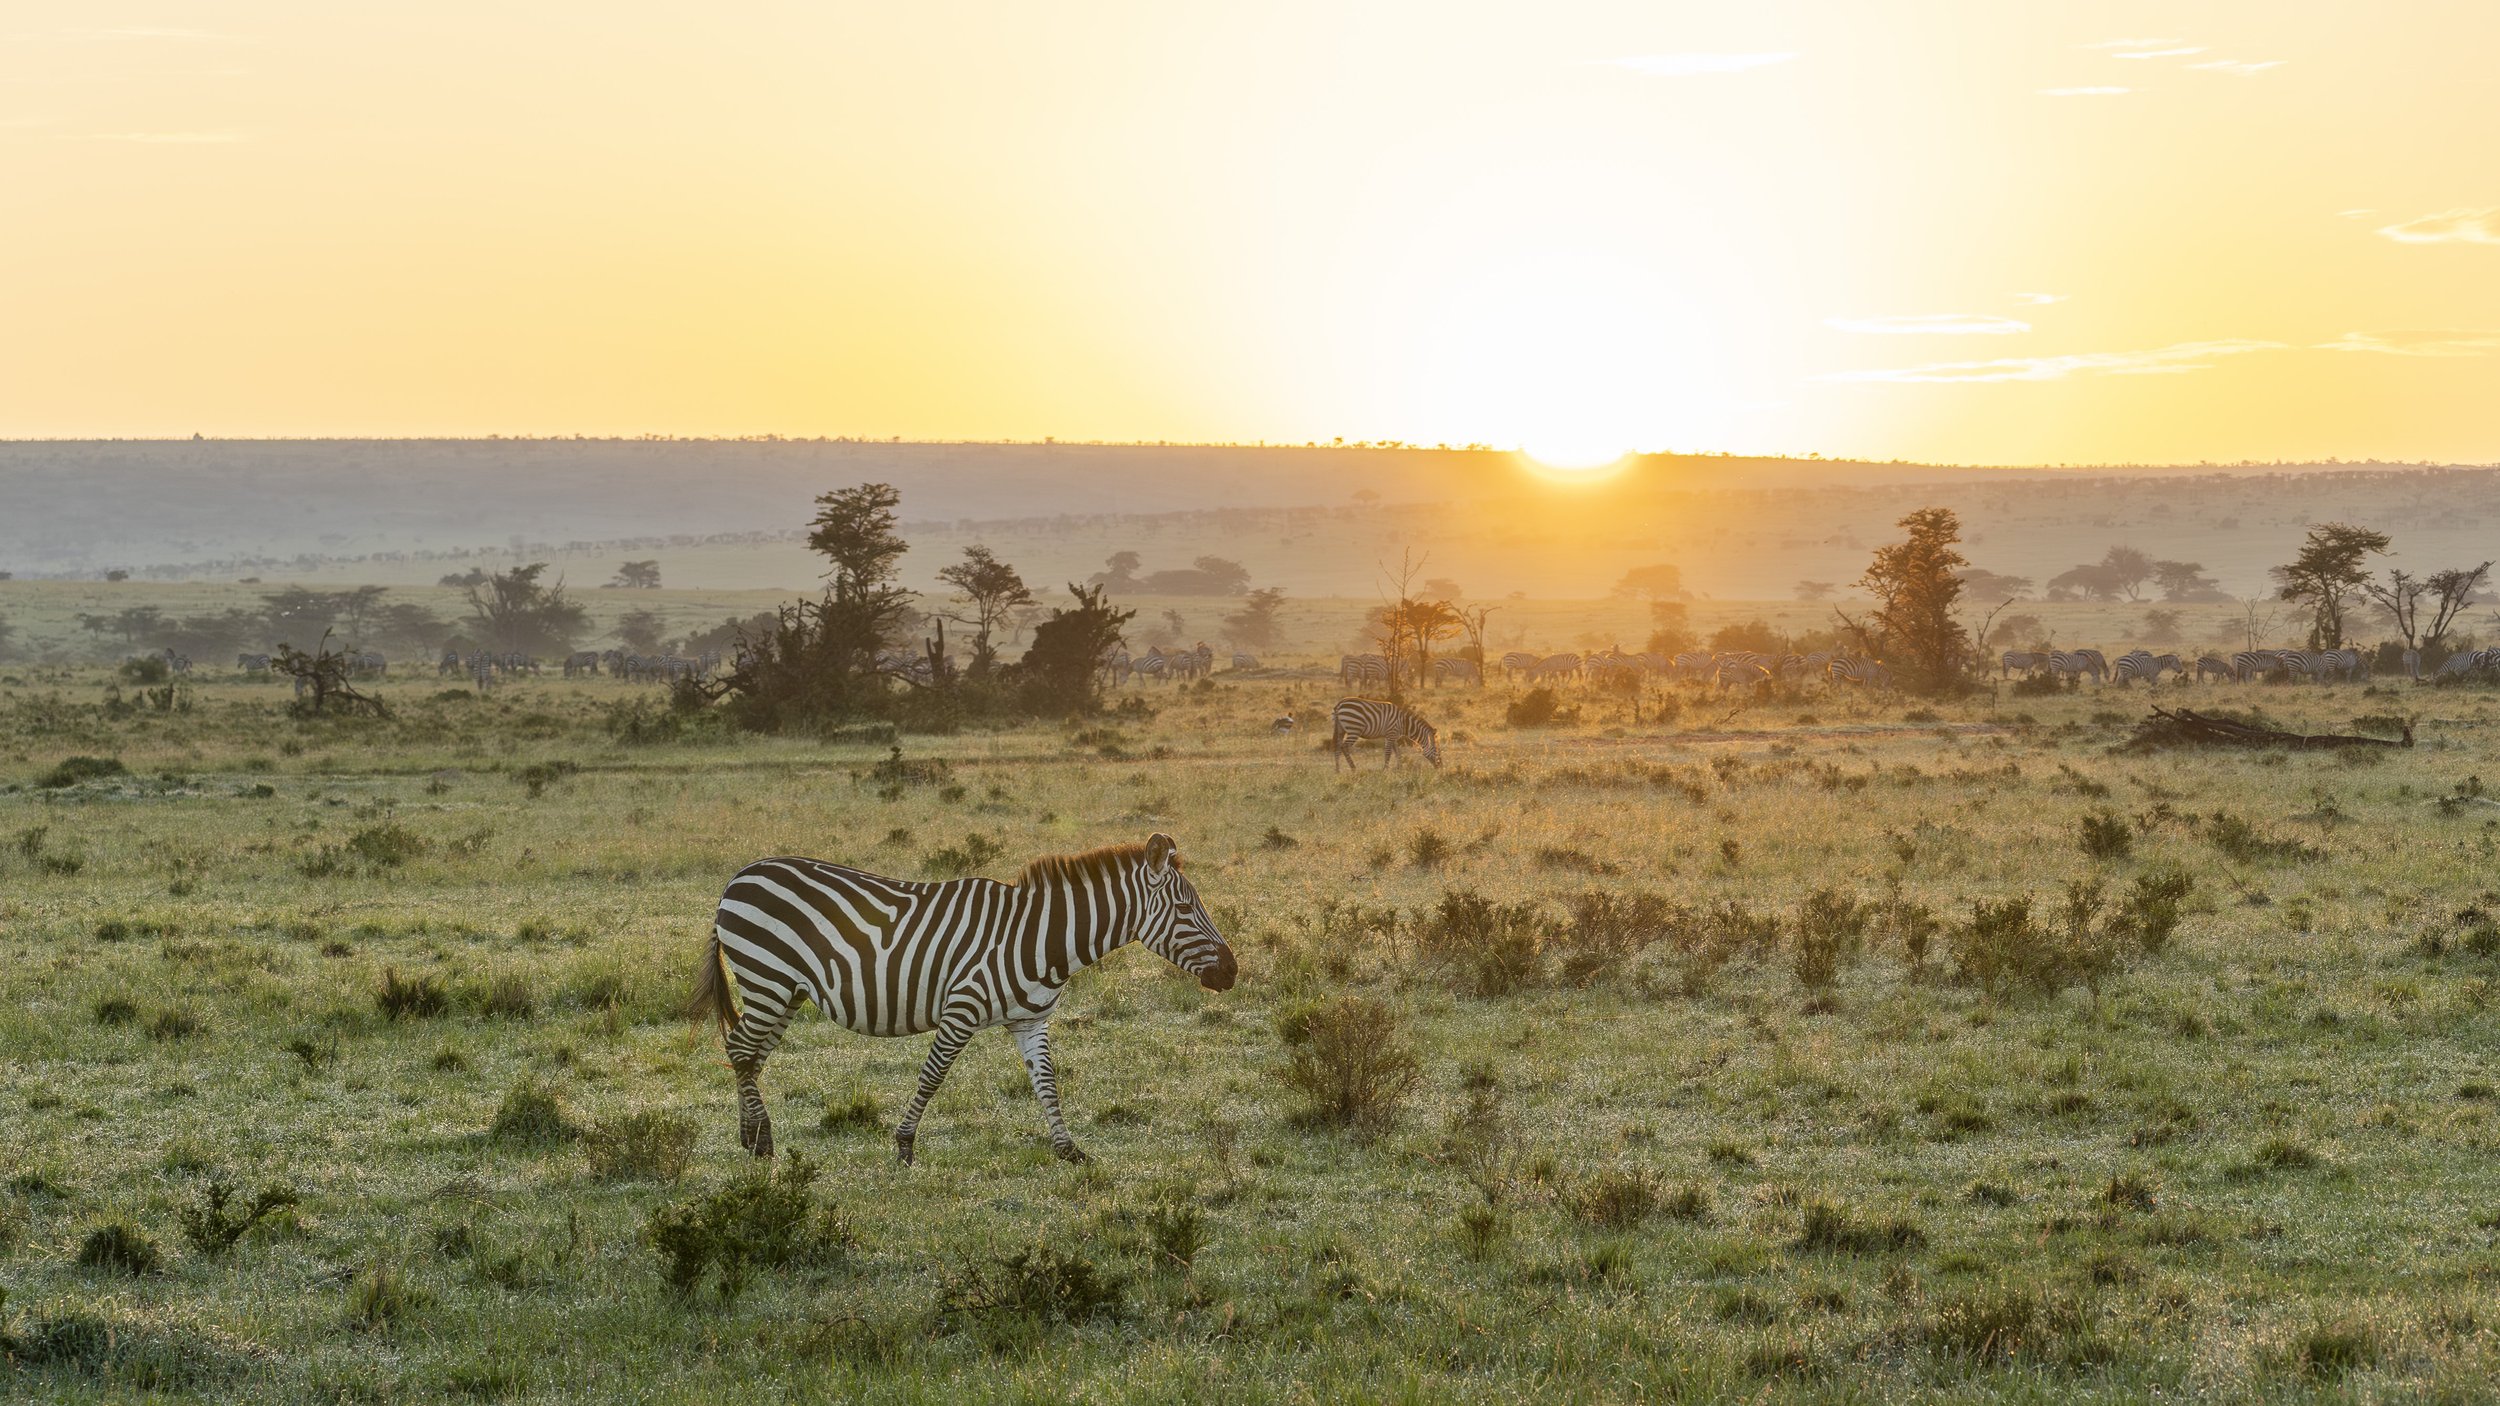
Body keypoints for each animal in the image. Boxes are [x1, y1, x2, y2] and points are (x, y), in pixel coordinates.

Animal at [690, 834, 1235, 1163]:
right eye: (1185, 908)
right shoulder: (961, 1009)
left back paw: (751, 1137)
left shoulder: (1031, 1020)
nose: (1231, 972)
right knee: (741, 1049)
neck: (1038, 939)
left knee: (750, 1055)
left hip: (785, 992)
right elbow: (932, 1077)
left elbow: (1047, 1086)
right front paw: (905, 1147)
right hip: (768, 978)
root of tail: (740, 875)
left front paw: (1069, 1150)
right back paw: (762, 1143)